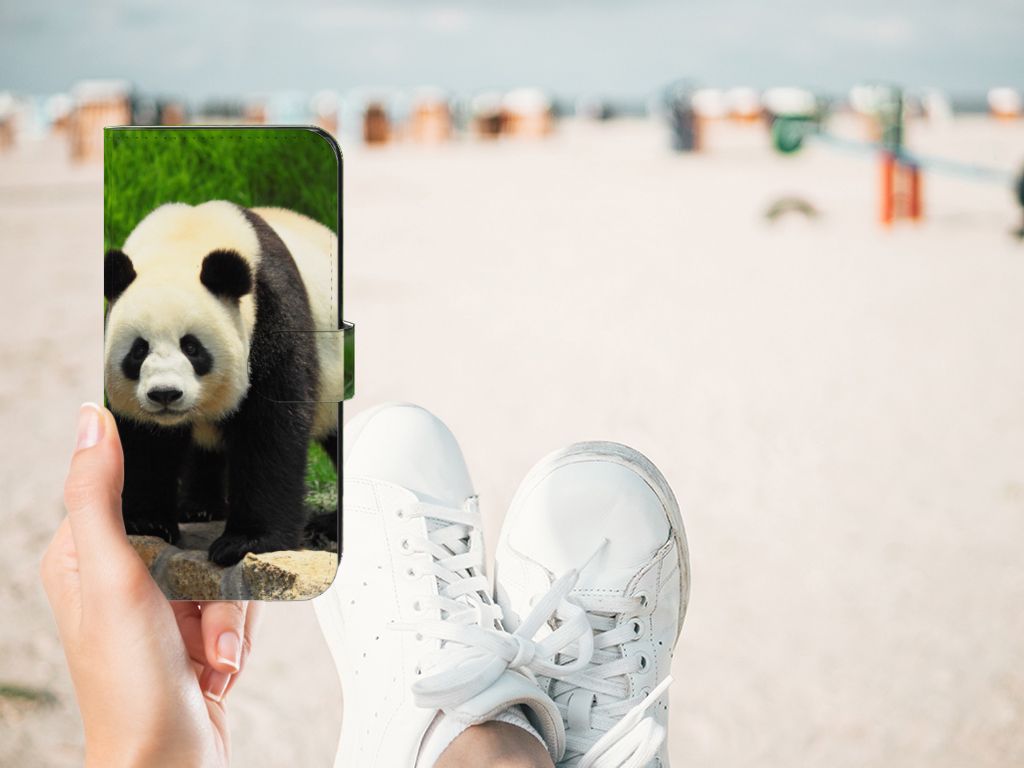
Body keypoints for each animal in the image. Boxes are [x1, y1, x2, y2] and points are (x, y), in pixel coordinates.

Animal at [103, 201, 341, 565]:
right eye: (138, 350)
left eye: (192, 347)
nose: (165, 394)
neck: (184, 240)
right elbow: (145, 440)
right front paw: (147, 522)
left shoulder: (272, 315)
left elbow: (269, 428)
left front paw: (246, 541)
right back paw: (200, 507)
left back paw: (327, 525)